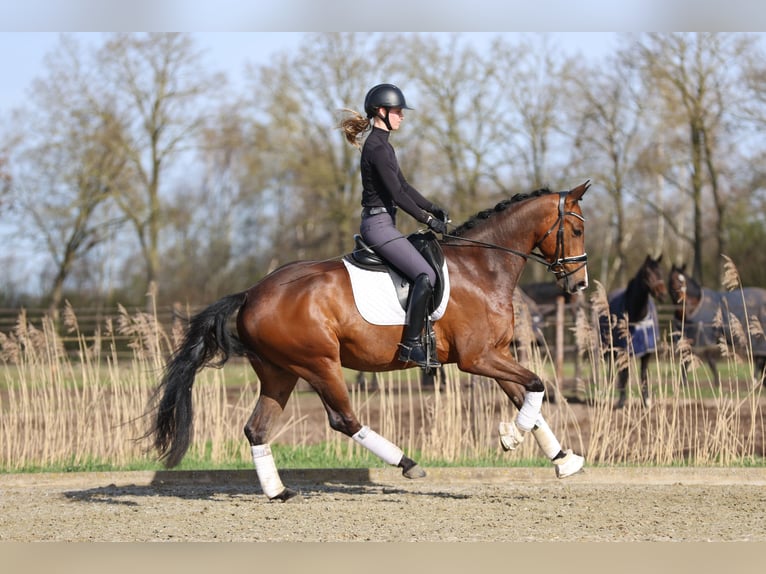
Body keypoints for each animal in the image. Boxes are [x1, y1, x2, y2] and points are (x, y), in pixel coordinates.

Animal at [149, 182, 591, 501]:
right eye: (577, 229)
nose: (580, 285)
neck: (482, 267)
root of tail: (251, 295)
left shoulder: (493, 354)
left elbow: (527, 396)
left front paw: (561, 459)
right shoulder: (477, 357)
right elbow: (537, 384)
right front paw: (512, 437)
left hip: (279, 373)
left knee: (257, 429)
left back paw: (278, 493)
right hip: (319, 363)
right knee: (344, 419)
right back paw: (408, 463)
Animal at [599, 255, 667, 409]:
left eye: (661, 272)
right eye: (648, 273)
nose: (661, 293)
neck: (637, 316)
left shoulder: (647, 352)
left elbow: (643, 376)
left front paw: (646, 401)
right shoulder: (625, 350)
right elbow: (625, 375)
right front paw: (621, 402)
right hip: (611, 348)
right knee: (613, 371)